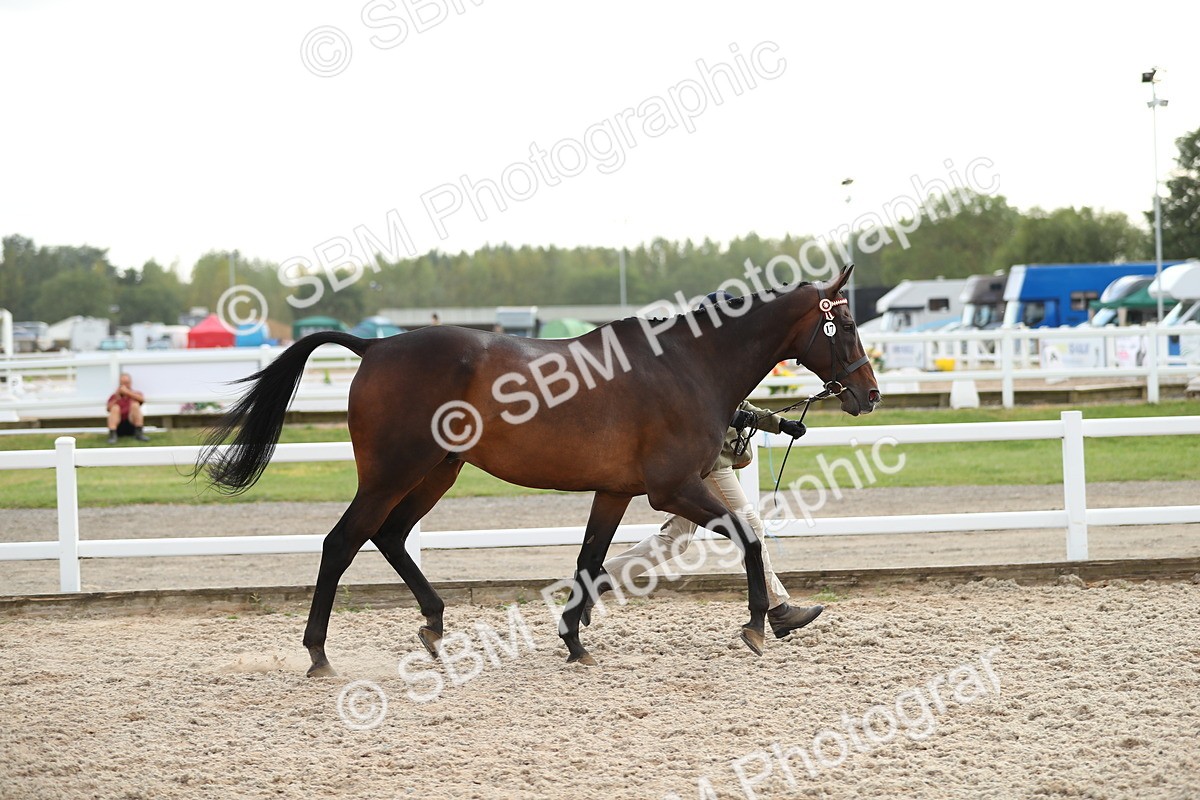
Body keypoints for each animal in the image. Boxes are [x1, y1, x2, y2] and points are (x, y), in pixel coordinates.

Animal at [197, 264, 880, 676]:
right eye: (845, 324)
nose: (868, 394)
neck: (686, 364)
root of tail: (376, 346)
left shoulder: (614, 491)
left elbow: (590, 560)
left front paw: (574, 638)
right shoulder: (670, 490)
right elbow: (748, 537)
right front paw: (759, 625)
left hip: (436, 473)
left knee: (388, 537)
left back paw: (435, 626)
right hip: (392, 474)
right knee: (342, 542)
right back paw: (318, 654)